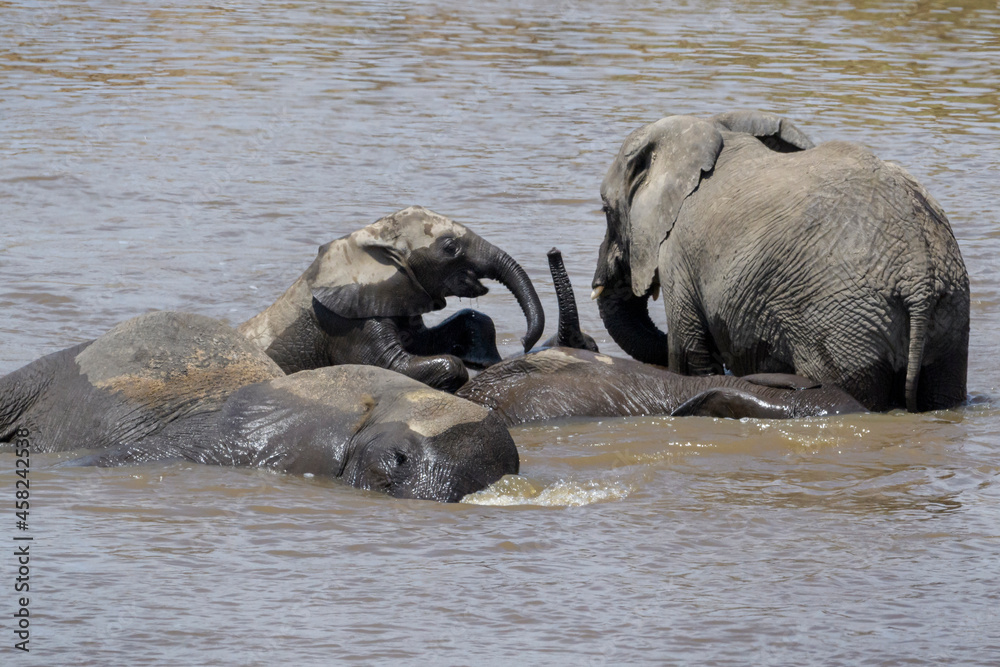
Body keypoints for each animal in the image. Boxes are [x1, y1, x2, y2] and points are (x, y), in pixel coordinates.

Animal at [240, 205, 543, 391]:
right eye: (450, 247)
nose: (524, 342)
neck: (371, 239)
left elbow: (427, 340)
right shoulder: (345, 323)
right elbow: (394, 365)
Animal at [591, 110, 969, 412]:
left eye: (606, 210)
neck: (712, 128)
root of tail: (919, 275)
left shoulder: (679, 251)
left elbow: (688, 355)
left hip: (843, 322)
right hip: (948, 314)